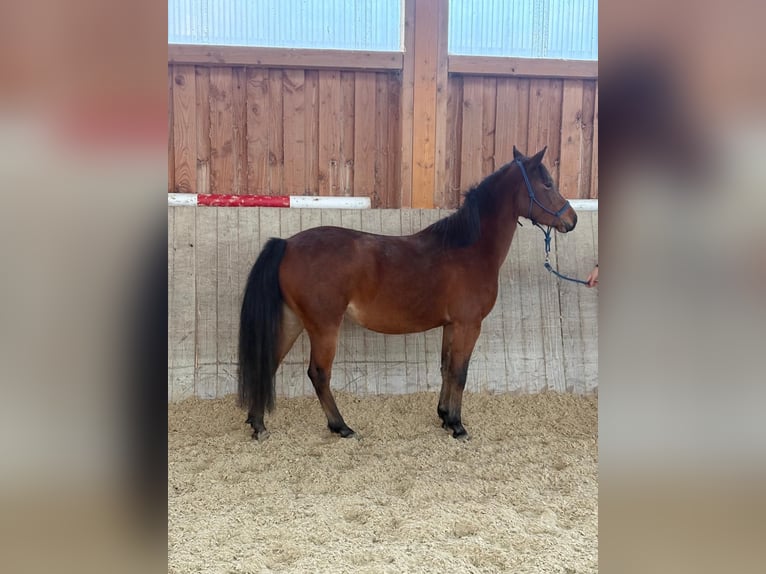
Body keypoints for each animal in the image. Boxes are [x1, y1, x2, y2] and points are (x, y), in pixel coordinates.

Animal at [238, 146, 577, 440]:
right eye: (547, 183)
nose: (571, 220)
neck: (469, 249)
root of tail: (287, 244)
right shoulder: (468, 325)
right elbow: (460, 372)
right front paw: (458, 426)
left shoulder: (451, 325)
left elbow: (446, 369)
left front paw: (444, 416)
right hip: (324, 328)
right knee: (318, 374)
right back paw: (341, 427)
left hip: (293, 321)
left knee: (268, 363)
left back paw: (258, 424)